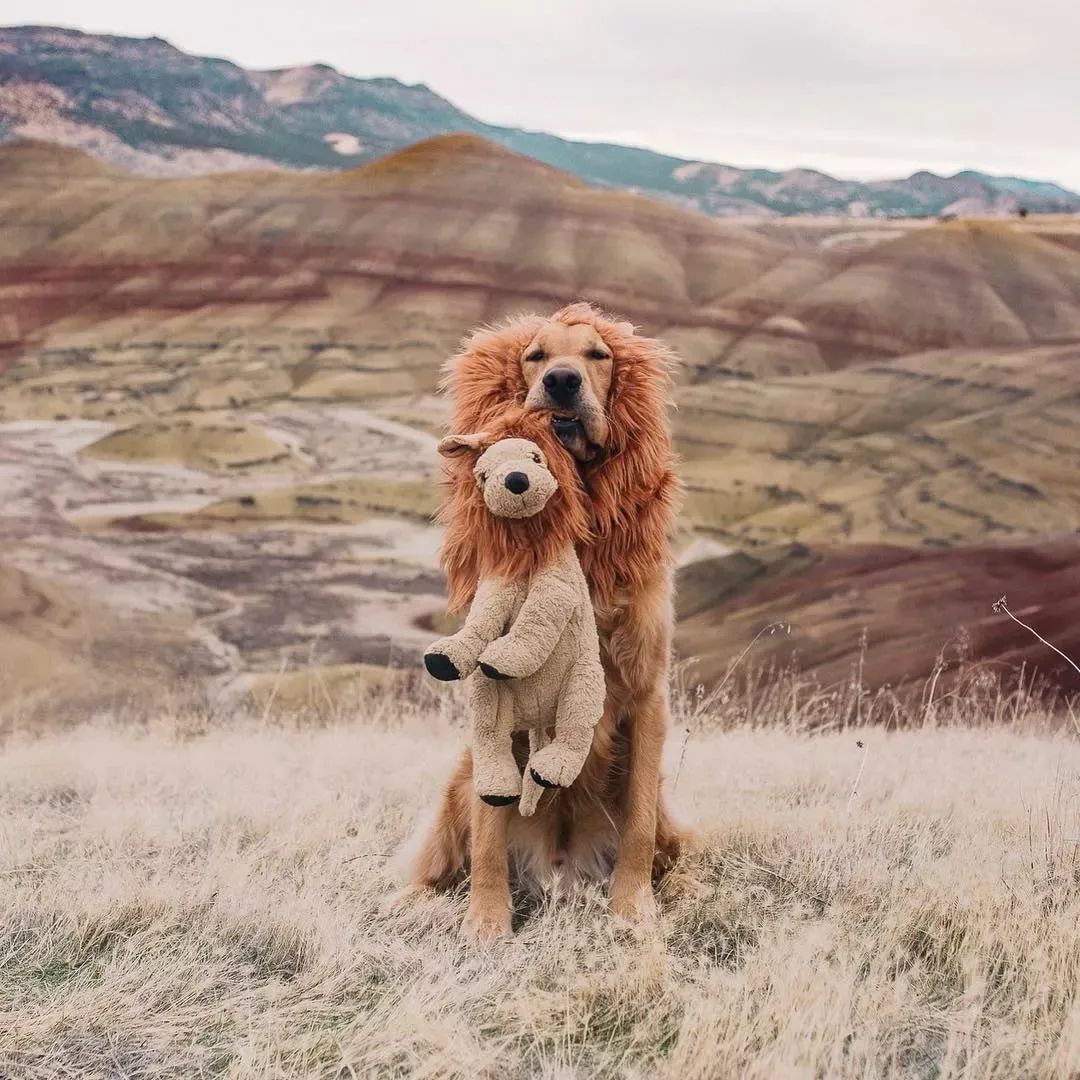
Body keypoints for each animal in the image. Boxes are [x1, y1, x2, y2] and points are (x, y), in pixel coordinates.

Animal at [408, 302, 678, 937]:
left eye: (598, 355)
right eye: (534, 355)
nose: (561, 381)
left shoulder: (648, 692)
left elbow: (637, 825)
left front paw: (633, 910)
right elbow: (487, 830)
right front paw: (486, 922)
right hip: (455, 786)